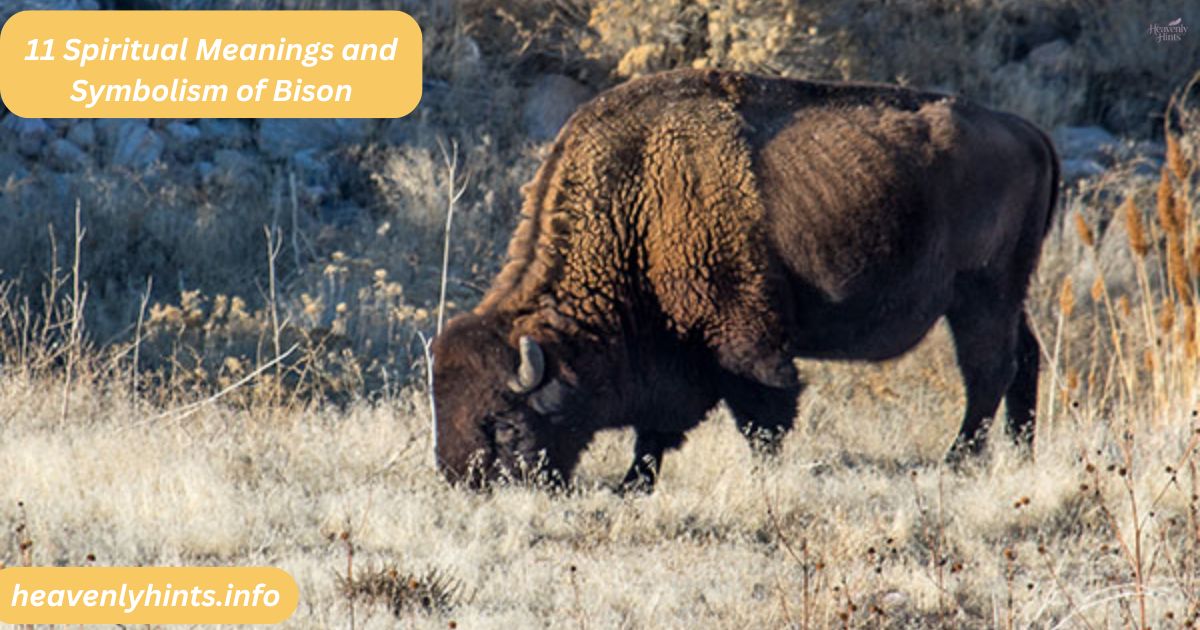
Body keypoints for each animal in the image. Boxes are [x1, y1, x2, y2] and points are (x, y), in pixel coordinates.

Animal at [431, 69, 1059, 490]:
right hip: (1007, 295)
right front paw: (633, 484)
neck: (637, 196)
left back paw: (958, 460)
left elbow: (763, 414)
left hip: (980, 294)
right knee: (1025, 358)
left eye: (504, 425)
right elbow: (657, 431)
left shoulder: (743, 337)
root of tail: (1028, 131)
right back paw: (1021, 454)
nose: (462, 480)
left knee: (989, 369)